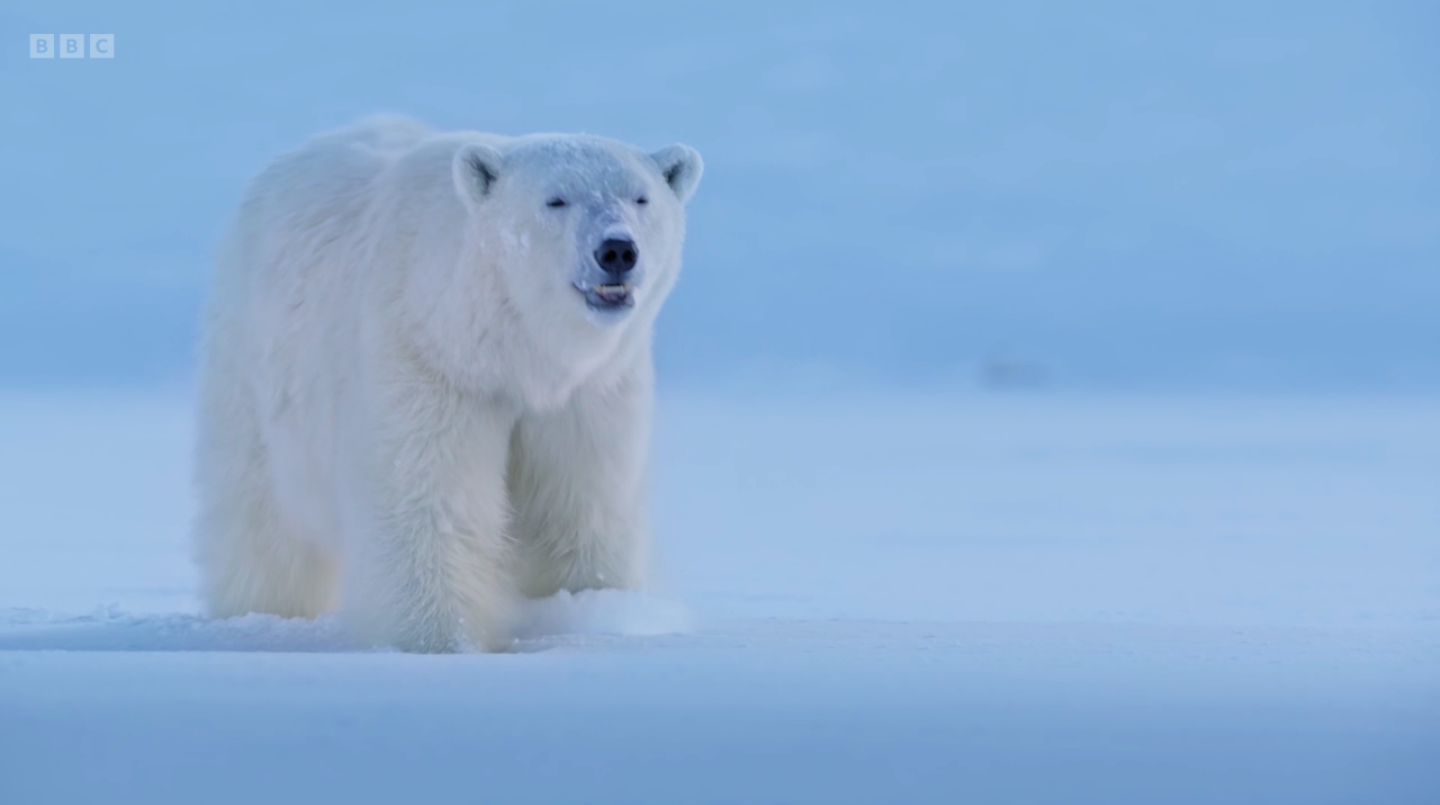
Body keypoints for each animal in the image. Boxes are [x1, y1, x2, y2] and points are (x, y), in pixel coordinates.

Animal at [191, 115, 702, 656]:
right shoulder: (427, 360)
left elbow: (579, 503)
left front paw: (596, 614)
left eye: (640, 197)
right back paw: (262, 611)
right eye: (556, 200)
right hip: (251, 364)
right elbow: (427, 501)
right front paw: (440, 642)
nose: (617, 249)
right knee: (257, 515)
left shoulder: (589, 393)